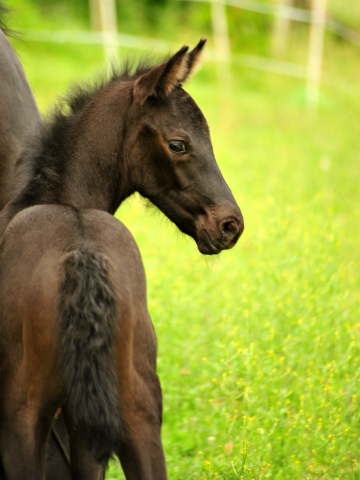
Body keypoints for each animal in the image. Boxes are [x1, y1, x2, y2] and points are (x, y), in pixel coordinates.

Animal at [0, 38, 245, 480]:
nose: (230, 224)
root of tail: (82, 257)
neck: (67, 203)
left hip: (21, 420)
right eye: (179, 144)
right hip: (138, 416)